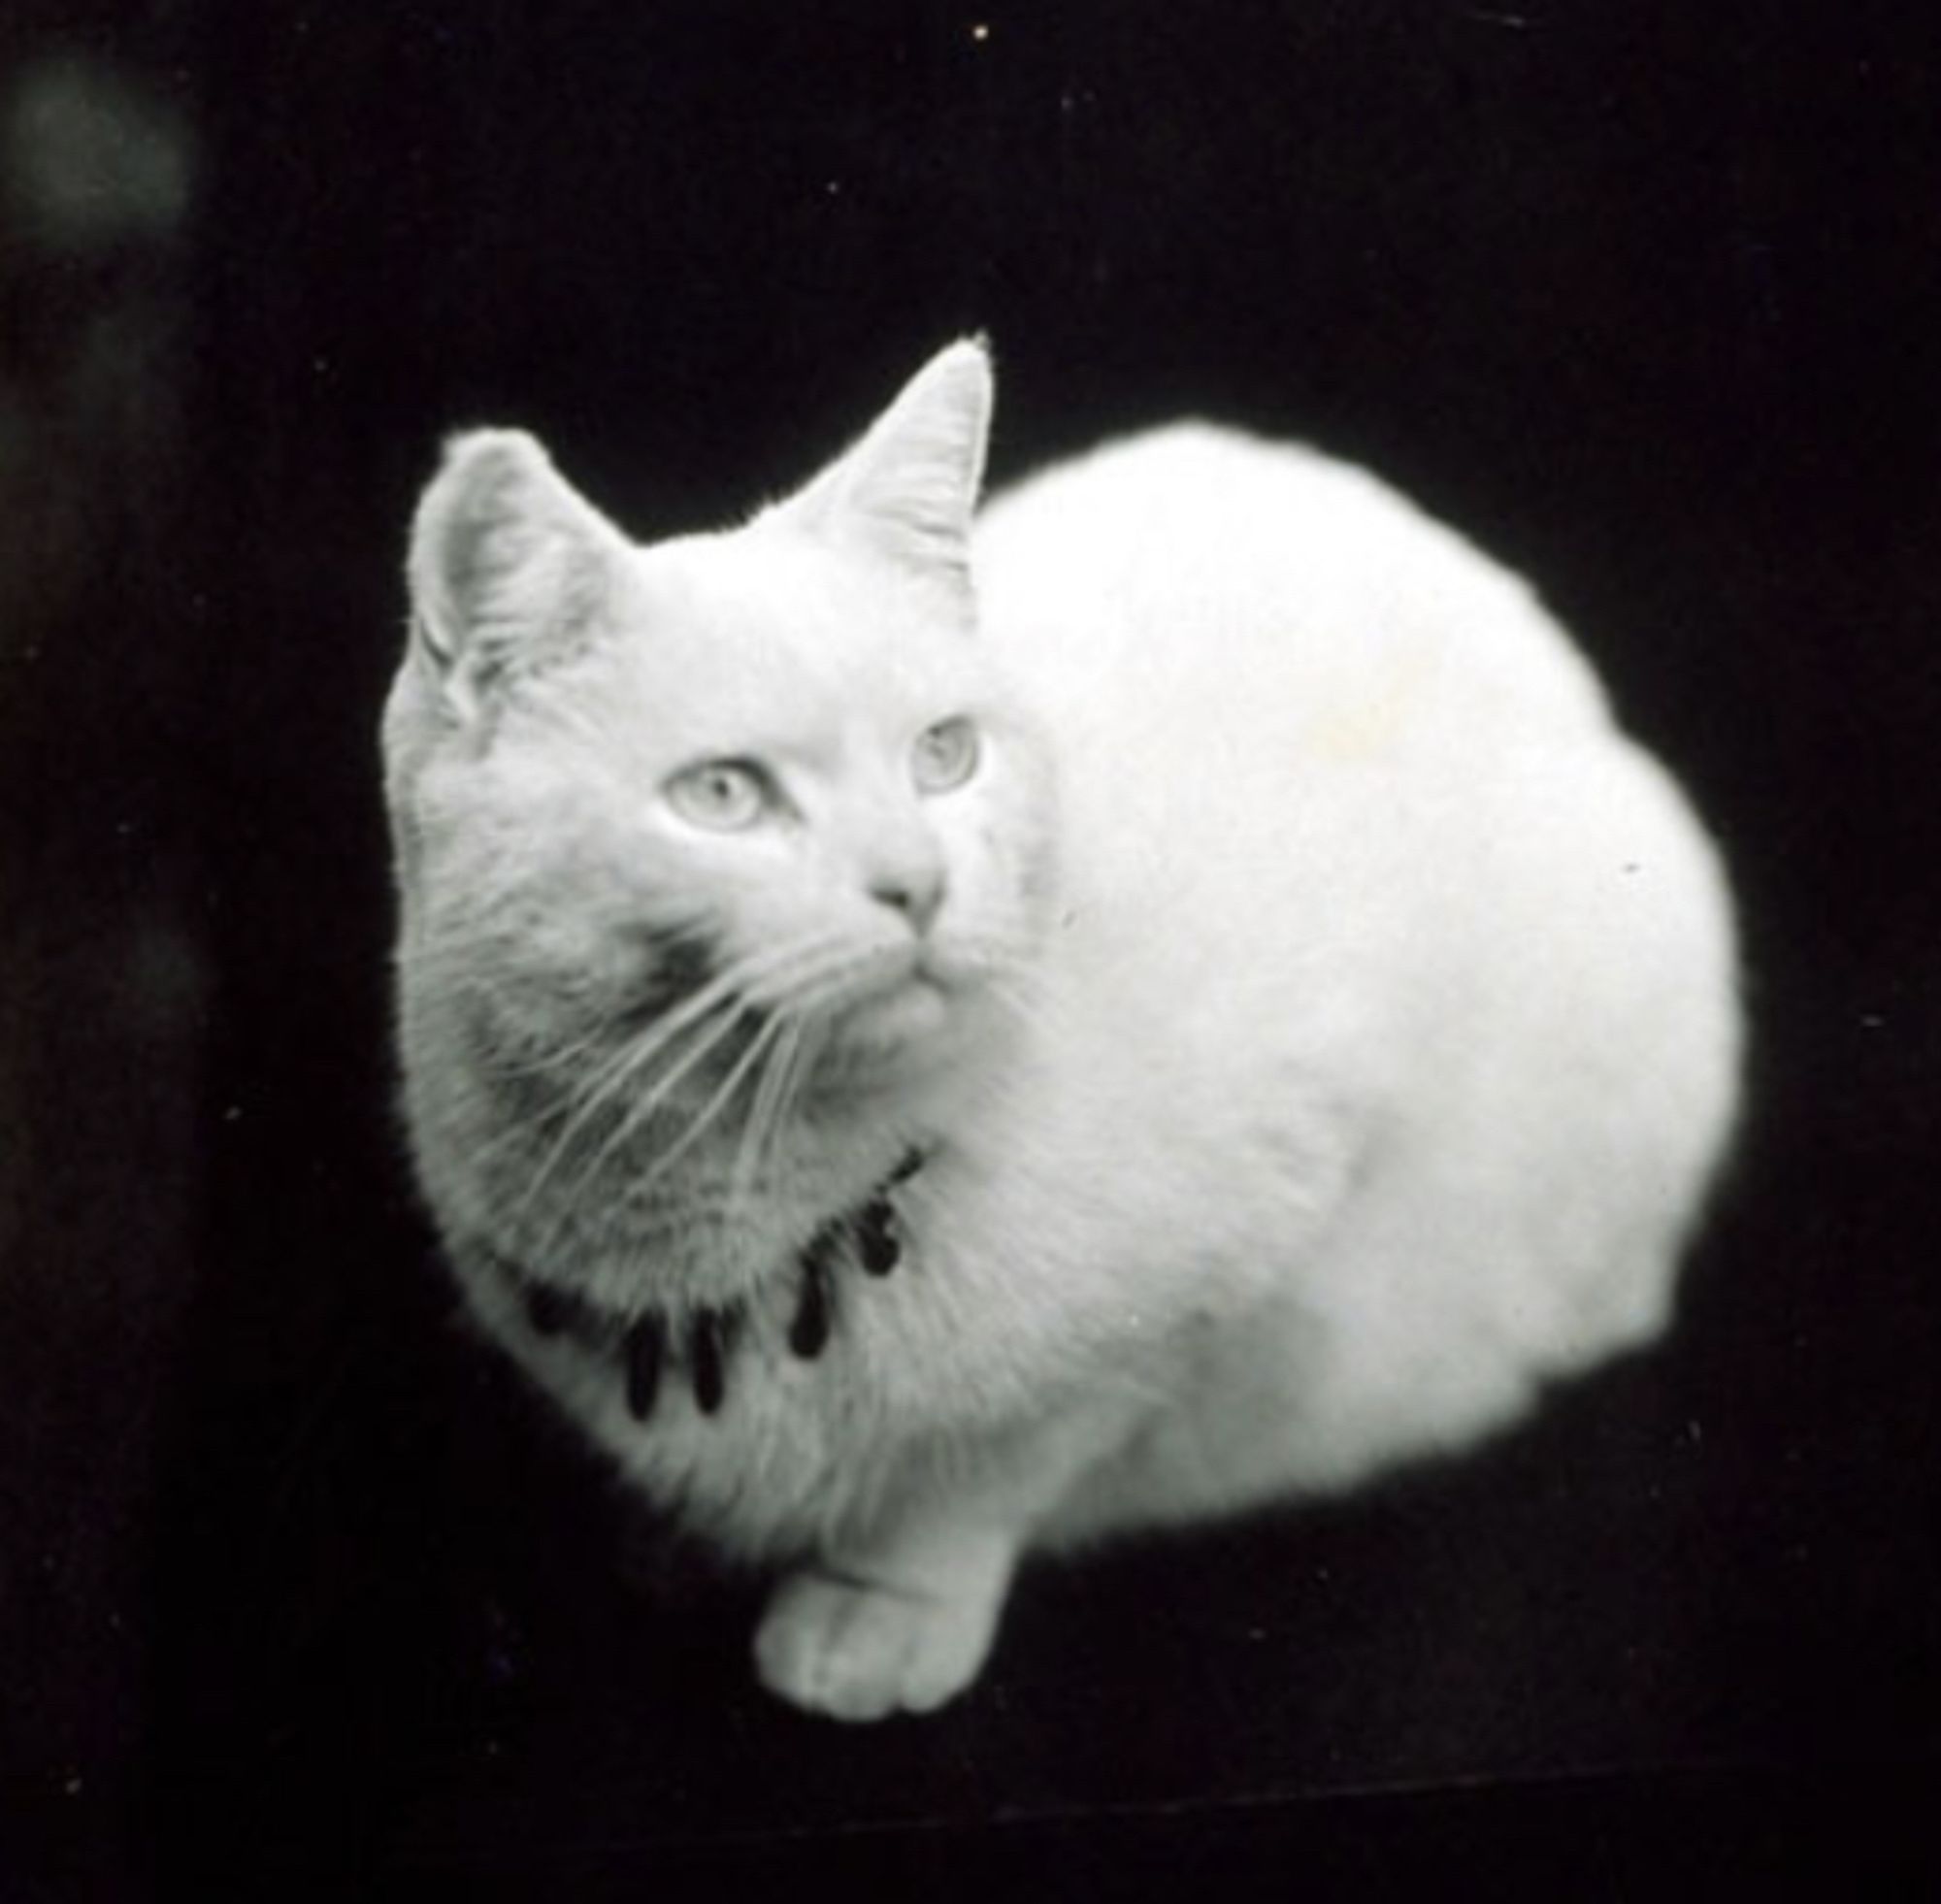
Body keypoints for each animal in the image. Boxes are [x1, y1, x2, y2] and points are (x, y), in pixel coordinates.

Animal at [382, 338, 1747, 1723]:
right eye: (721, 795)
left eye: (945, 755)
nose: (916, 883)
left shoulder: (1233, 1248)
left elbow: (990, 1466)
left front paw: (879, 1609)